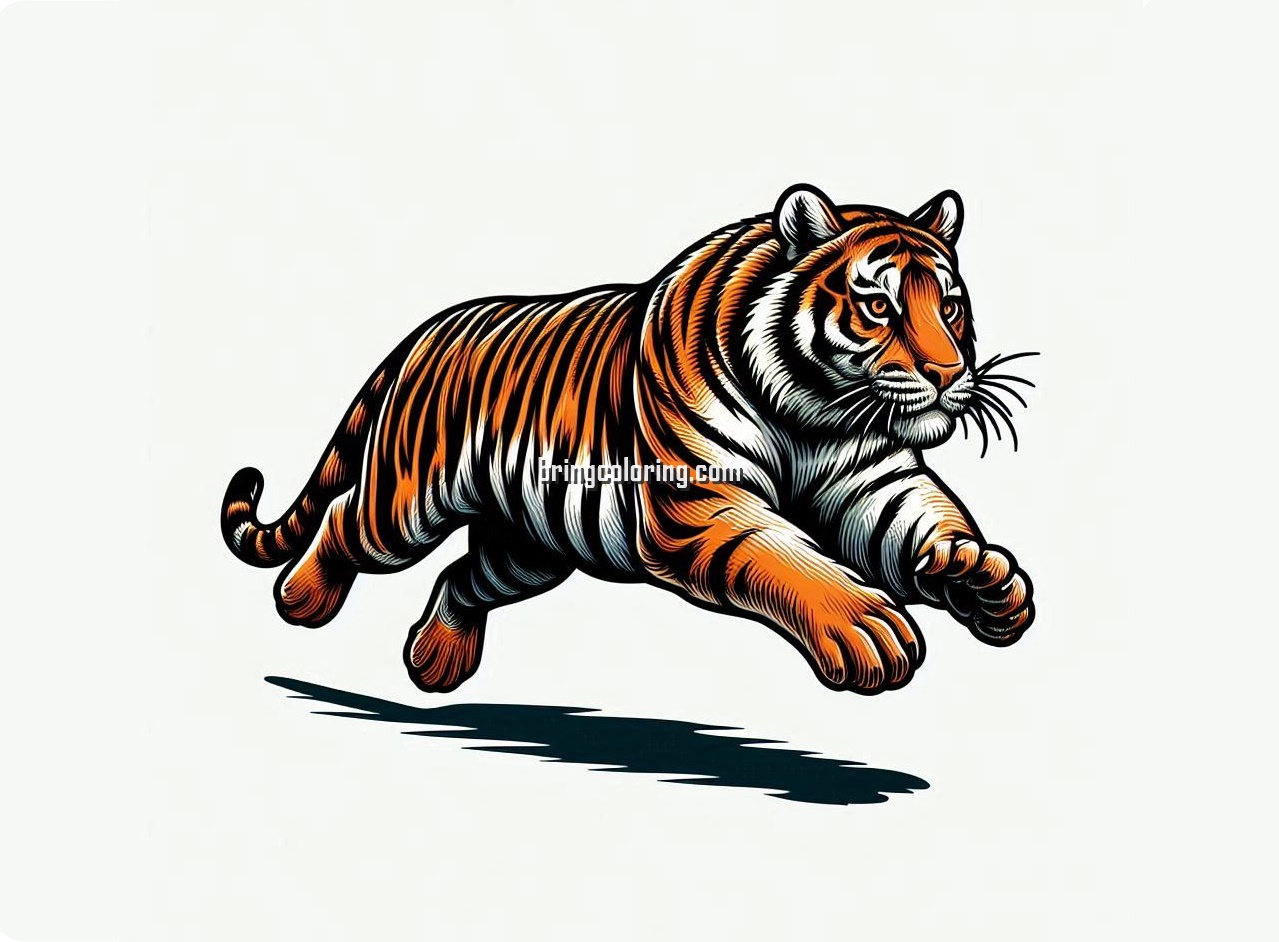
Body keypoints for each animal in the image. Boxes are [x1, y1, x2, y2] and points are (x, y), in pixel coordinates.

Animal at [221, 184, 1035, 695]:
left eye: (950, 306)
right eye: (878, 306)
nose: (948, 372)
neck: (817, 411)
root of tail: (424, 332)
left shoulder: (874, 479)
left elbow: (928, 523)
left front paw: (983, 581)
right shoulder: (697, 499)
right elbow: (781, 555)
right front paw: (865, 627)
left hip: (530, 549)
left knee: (461, 579)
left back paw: (435, 663)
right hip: (406, 504)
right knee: (344, 523)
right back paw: (301, 600)